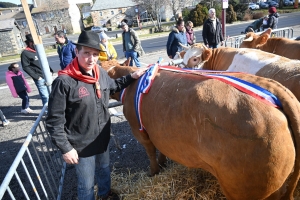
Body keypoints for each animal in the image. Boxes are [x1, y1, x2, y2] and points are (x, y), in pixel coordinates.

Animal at [103, 65, 300, 199]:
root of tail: (274, 90)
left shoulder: (138, 129)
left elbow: (150, 152)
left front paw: (153, 172)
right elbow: (161, 150)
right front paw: (163, 163)